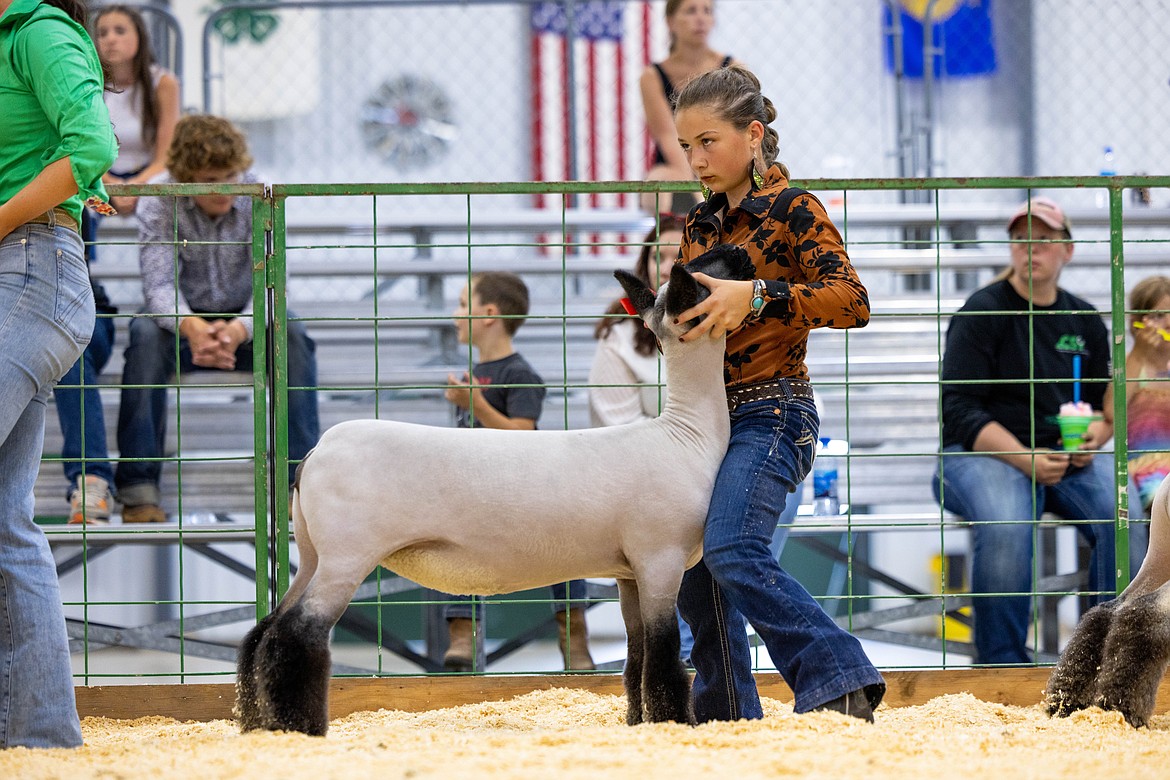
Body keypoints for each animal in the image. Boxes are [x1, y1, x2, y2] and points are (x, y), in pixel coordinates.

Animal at [235, 245, 758, 739]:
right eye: (706, 275)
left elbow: (638, 659)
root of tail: (314, 454)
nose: (739, 252)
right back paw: (298, 727)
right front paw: (672, 724)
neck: (685, 435)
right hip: (347, 555)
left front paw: (638, 722)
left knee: (264, 630)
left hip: (312, 553)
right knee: (296, 634)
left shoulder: (628, 572)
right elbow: (666, 660)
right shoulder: (659, 559)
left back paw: (255, 720)